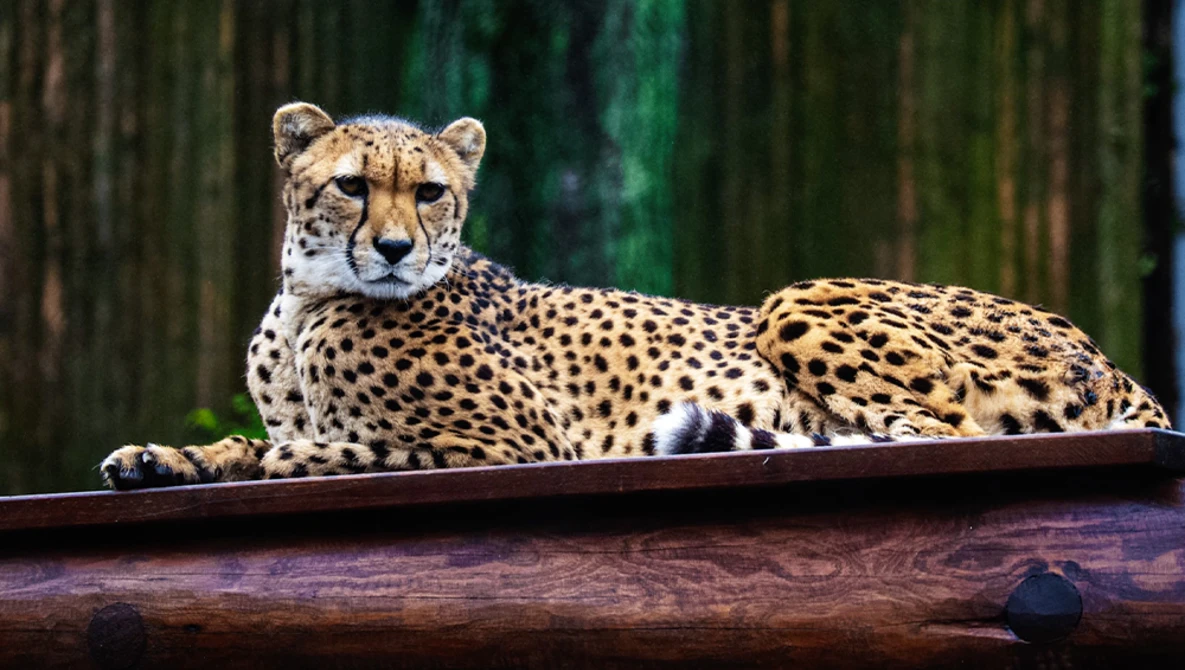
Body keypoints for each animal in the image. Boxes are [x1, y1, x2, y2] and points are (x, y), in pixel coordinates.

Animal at [100, 102, 1171, 489]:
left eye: (431, 191)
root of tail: (1115, 361)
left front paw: (295, 459)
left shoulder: (523, 440)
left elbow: (361, 448)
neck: (310, 302)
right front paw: (162, 458)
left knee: (940, 434)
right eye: (354, 185)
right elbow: (249, 444)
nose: (397, 249)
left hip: (800, 297)